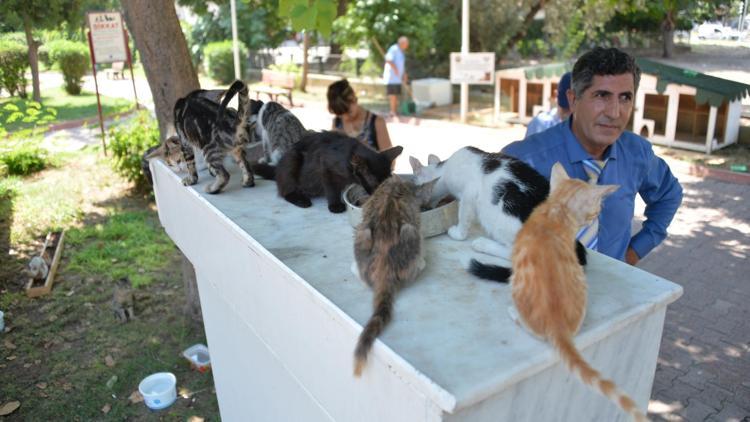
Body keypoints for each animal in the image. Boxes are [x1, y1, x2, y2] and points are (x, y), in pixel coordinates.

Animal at [254, 130, 406, 213]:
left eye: (386, 181)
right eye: (375, 182)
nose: (379, 194)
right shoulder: (326, 169)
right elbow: (332, 189)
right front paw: (335, 205)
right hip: (292, 160)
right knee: (286, 191)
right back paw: (301, 200)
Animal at [412, 147, 588, 278]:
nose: (423, 206)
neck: (444, 169)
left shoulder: (469, 194)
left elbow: (463, 217)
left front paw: (457, 233)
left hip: (493, 213)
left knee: (513, 251)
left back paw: (482, 244)